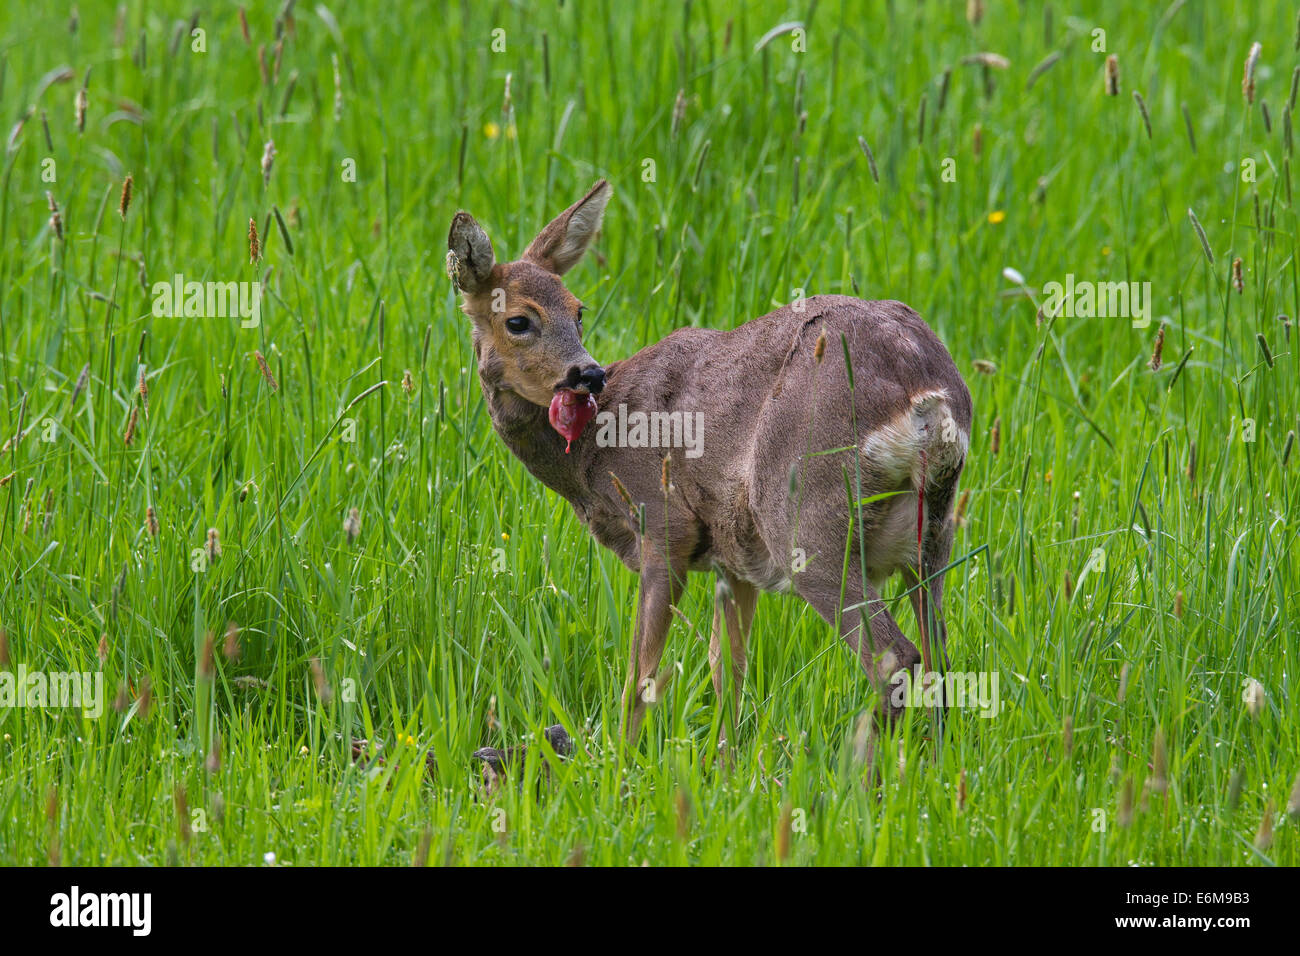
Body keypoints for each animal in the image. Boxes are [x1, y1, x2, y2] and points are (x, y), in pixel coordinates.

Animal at [447, 180, 972, 745]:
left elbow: (640, 678)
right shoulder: (734, 557)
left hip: (805, 517)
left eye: (577, 310)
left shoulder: (664, 526)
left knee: (895, 658)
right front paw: (727, 759)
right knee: (940, 661)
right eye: (518, 321)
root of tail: (926, 391)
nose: (587, 374)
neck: (597, 452)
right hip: (933, 533)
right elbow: (728, 671)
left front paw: (618, 758)